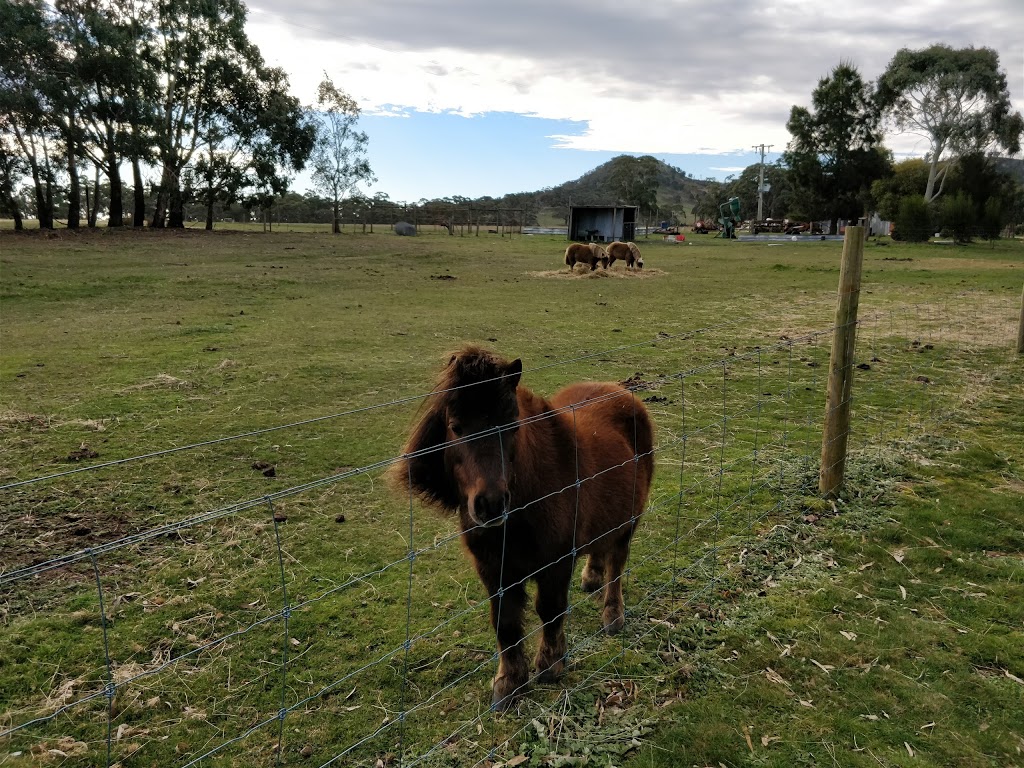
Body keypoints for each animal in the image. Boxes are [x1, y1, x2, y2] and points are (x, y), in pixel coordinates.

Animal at [395, 348, 651, 708]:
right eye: (455, 427)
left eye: (512, 426)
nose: (490, 504)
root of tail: (619, 390)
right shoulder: (493, 569)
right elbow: (505, 623)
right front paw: (509, 683)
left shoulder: (556, 562)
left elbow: (551, 610)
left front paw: (550, 665)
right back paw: (591, 577)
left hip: (629, 521)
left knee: (617, 564)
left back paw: (613, 615)